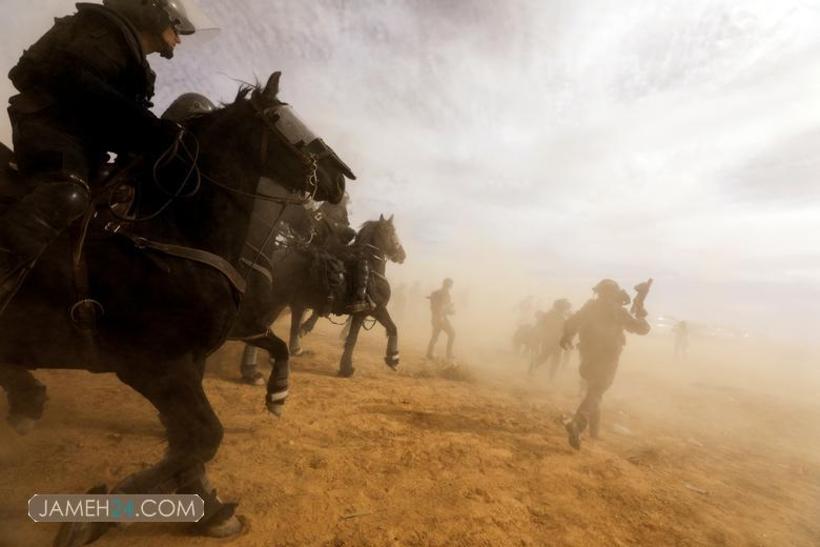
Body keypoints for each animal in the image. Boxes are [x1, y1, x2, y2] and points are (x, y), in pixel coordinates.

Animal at [0, 71, 350, 544]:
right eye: (285, 121)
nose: (340, 179)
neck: (171, 237)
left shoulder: (194, 358)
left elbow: (190, 439)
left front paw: (209, 506)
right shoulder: (154, 366)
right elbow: (203, 436)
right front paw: (91, 518)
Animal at [237, 214, 404, 382]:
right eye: (392, 232)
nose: (402, 255)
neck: (373, 271)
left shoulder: (365, 313)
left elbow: (361, 335)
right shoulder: (373, 310)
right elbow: (380, 331)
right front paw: (392, 358)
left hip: (280, 303)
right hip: (275, 301)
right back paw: (252, 371)